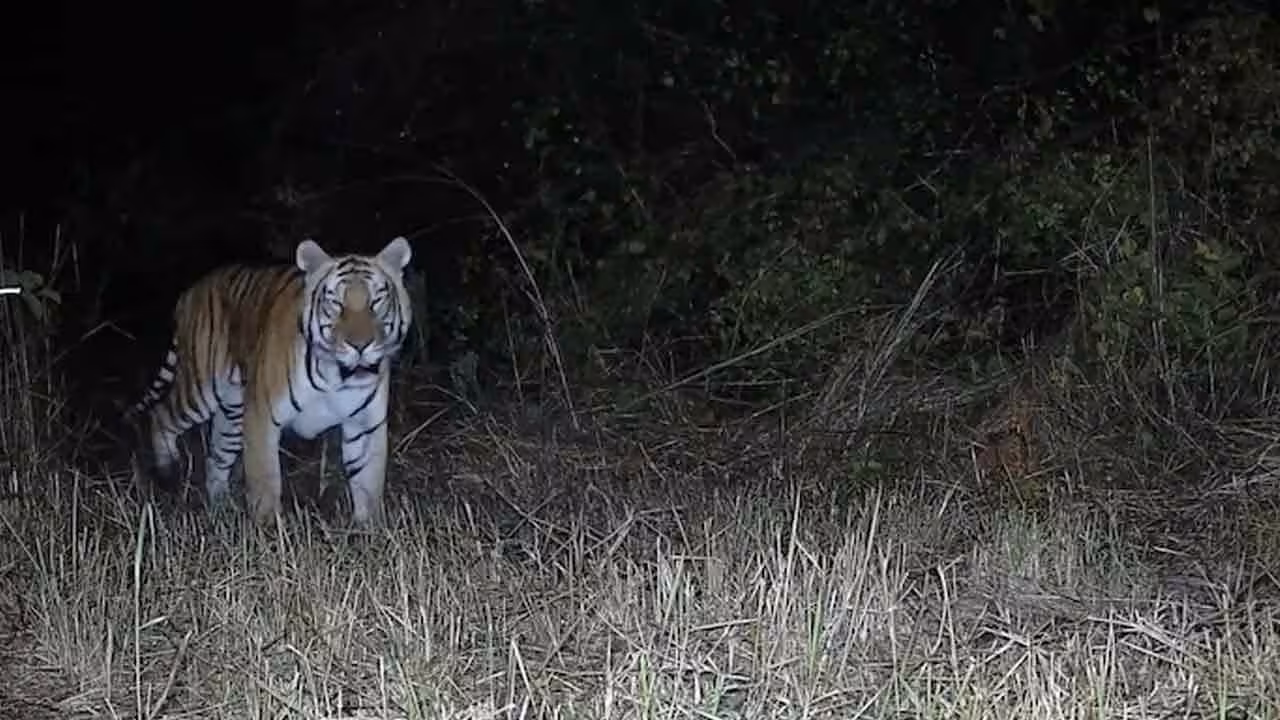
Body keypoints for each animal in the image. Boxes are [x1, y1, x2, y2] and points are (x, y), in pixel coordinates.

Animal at [128, 236, 413, 526]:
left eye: (376, 301)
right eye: (336, 303)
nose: (360, 345)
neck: (338, 375)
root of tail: (190, 291)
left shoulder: (366, 426)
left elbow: (369, 486)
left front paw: (370, 530)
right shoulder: (262, 417)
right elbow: (265, 481)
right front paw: (268, 530)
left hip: (232, 412)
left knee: (216, 457)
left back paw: (220, 508)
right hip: (201, 389)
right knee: (161, 414)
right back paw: (168, 472)